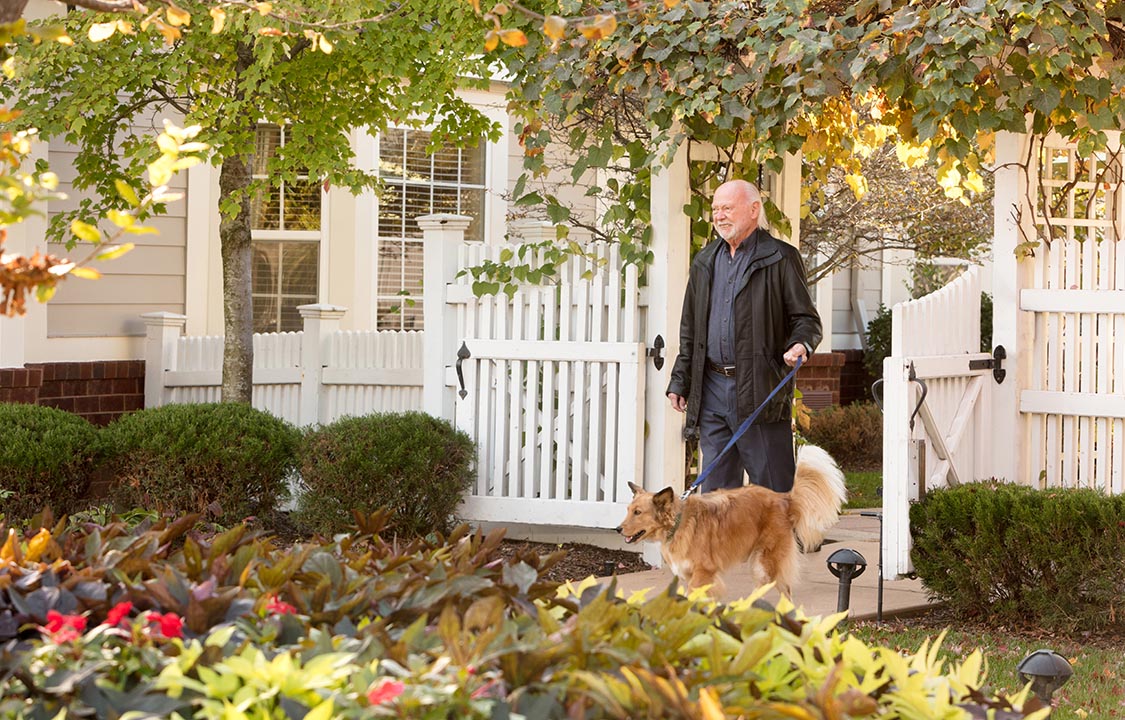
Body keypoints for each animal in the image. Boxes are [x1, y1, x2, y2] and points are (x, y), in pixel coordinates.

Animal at [616, 441, 846, 598]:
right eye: (628, 510)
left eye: (638, 513)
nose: (618, 529)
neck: (678, 524)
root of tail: (784, 498)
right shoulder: (691, 575)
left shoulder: (703, 572)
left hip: (765, 561)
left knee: (775, 588)